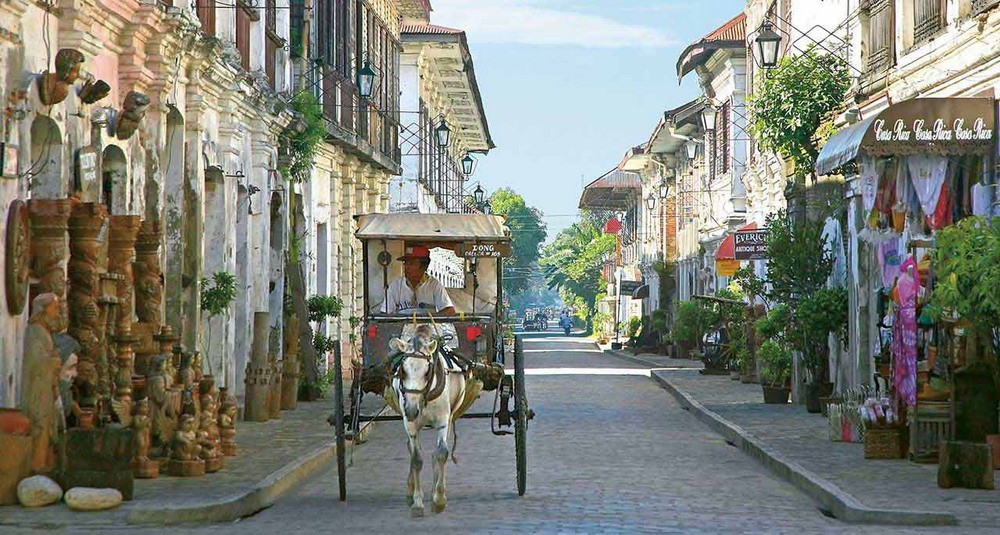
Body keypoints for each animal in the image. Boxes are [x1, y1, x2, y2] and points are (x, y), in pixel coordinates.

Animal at [388, 324, 482, 516]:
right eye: (403, 371)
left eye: (427, 372)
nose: (411, 409)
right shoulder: (410, 424)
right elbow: (416, 458)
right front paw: (417, 502)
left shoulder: (443, 420)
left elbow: (441, 453)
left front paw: (439, 498)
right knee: (411, 449)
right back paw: (410, 490)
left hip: (451, 415)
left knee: (437, 453)